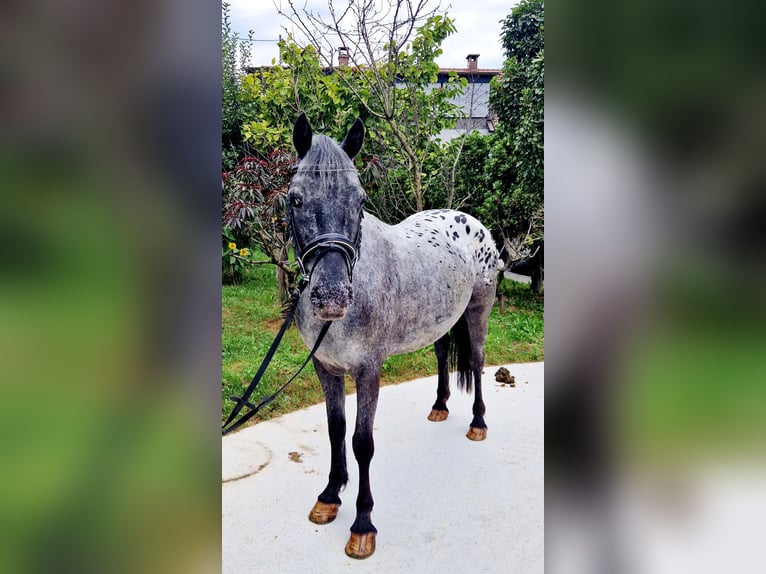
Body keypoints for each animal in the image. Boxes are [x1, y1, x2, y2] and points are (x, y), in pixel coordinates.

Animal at [292, 115, 500, 560]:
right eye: (296, 200)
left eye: (360, 201)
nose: (332, 298)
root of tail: (470, 222)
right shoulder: (325, 367)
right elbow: (335, 429)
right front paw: (329, 496)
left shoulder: (368, 371)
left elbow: (362, 442)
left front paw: (362, 525)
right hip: (442, 320)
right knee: (442, 354)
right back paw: (439, 406)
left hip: (478, 311)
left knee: (476, 362)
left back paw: (477, 422)